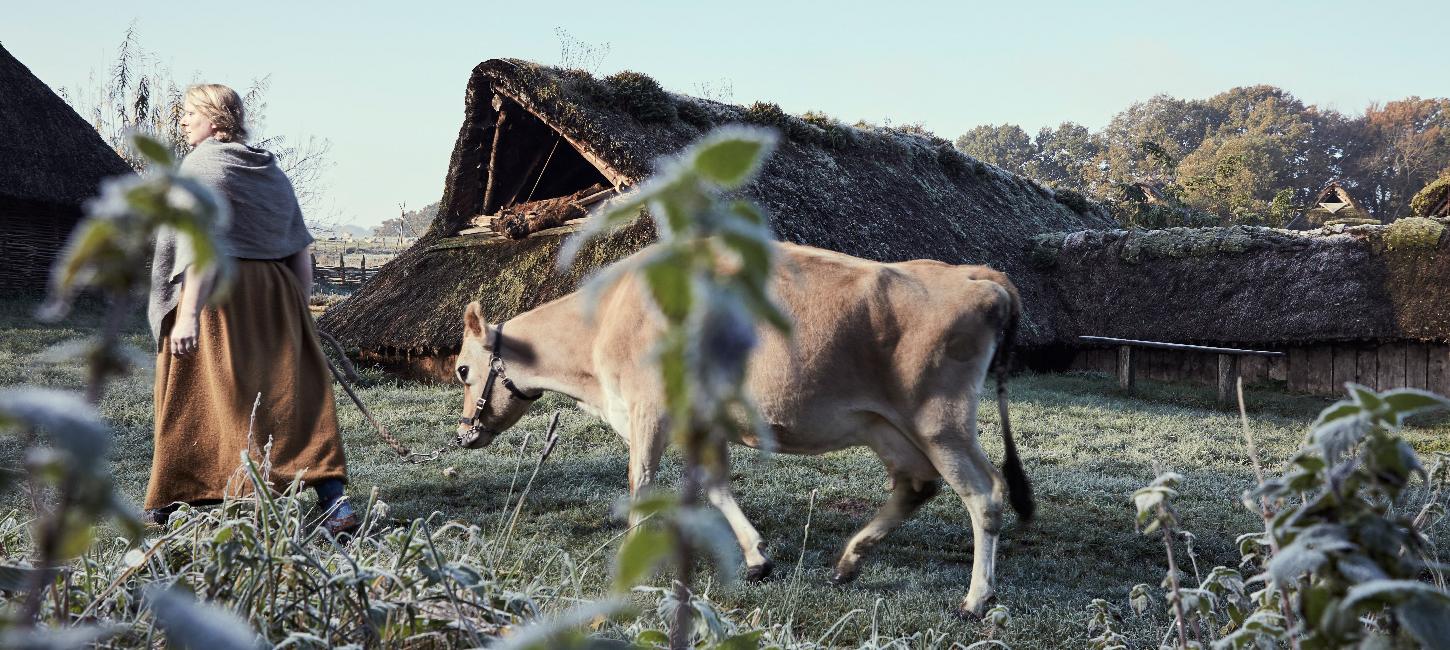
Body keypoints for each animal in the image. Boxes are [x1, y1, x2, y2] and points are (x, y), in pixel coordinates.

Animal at [452, 240, 1032, 618]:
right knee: (915, 485)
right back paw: (848, 561)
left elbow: (642, 484)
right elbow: (716, 487)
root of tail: (974, 275)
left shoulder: (648, 410)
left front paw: (631, 557)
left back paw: (977, 598)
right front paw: (756, 558)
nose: (462, 434)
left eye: (461, 369)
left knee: (984, 493)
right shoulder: (704, 420)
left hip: (940, 422)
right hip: (887, 426)